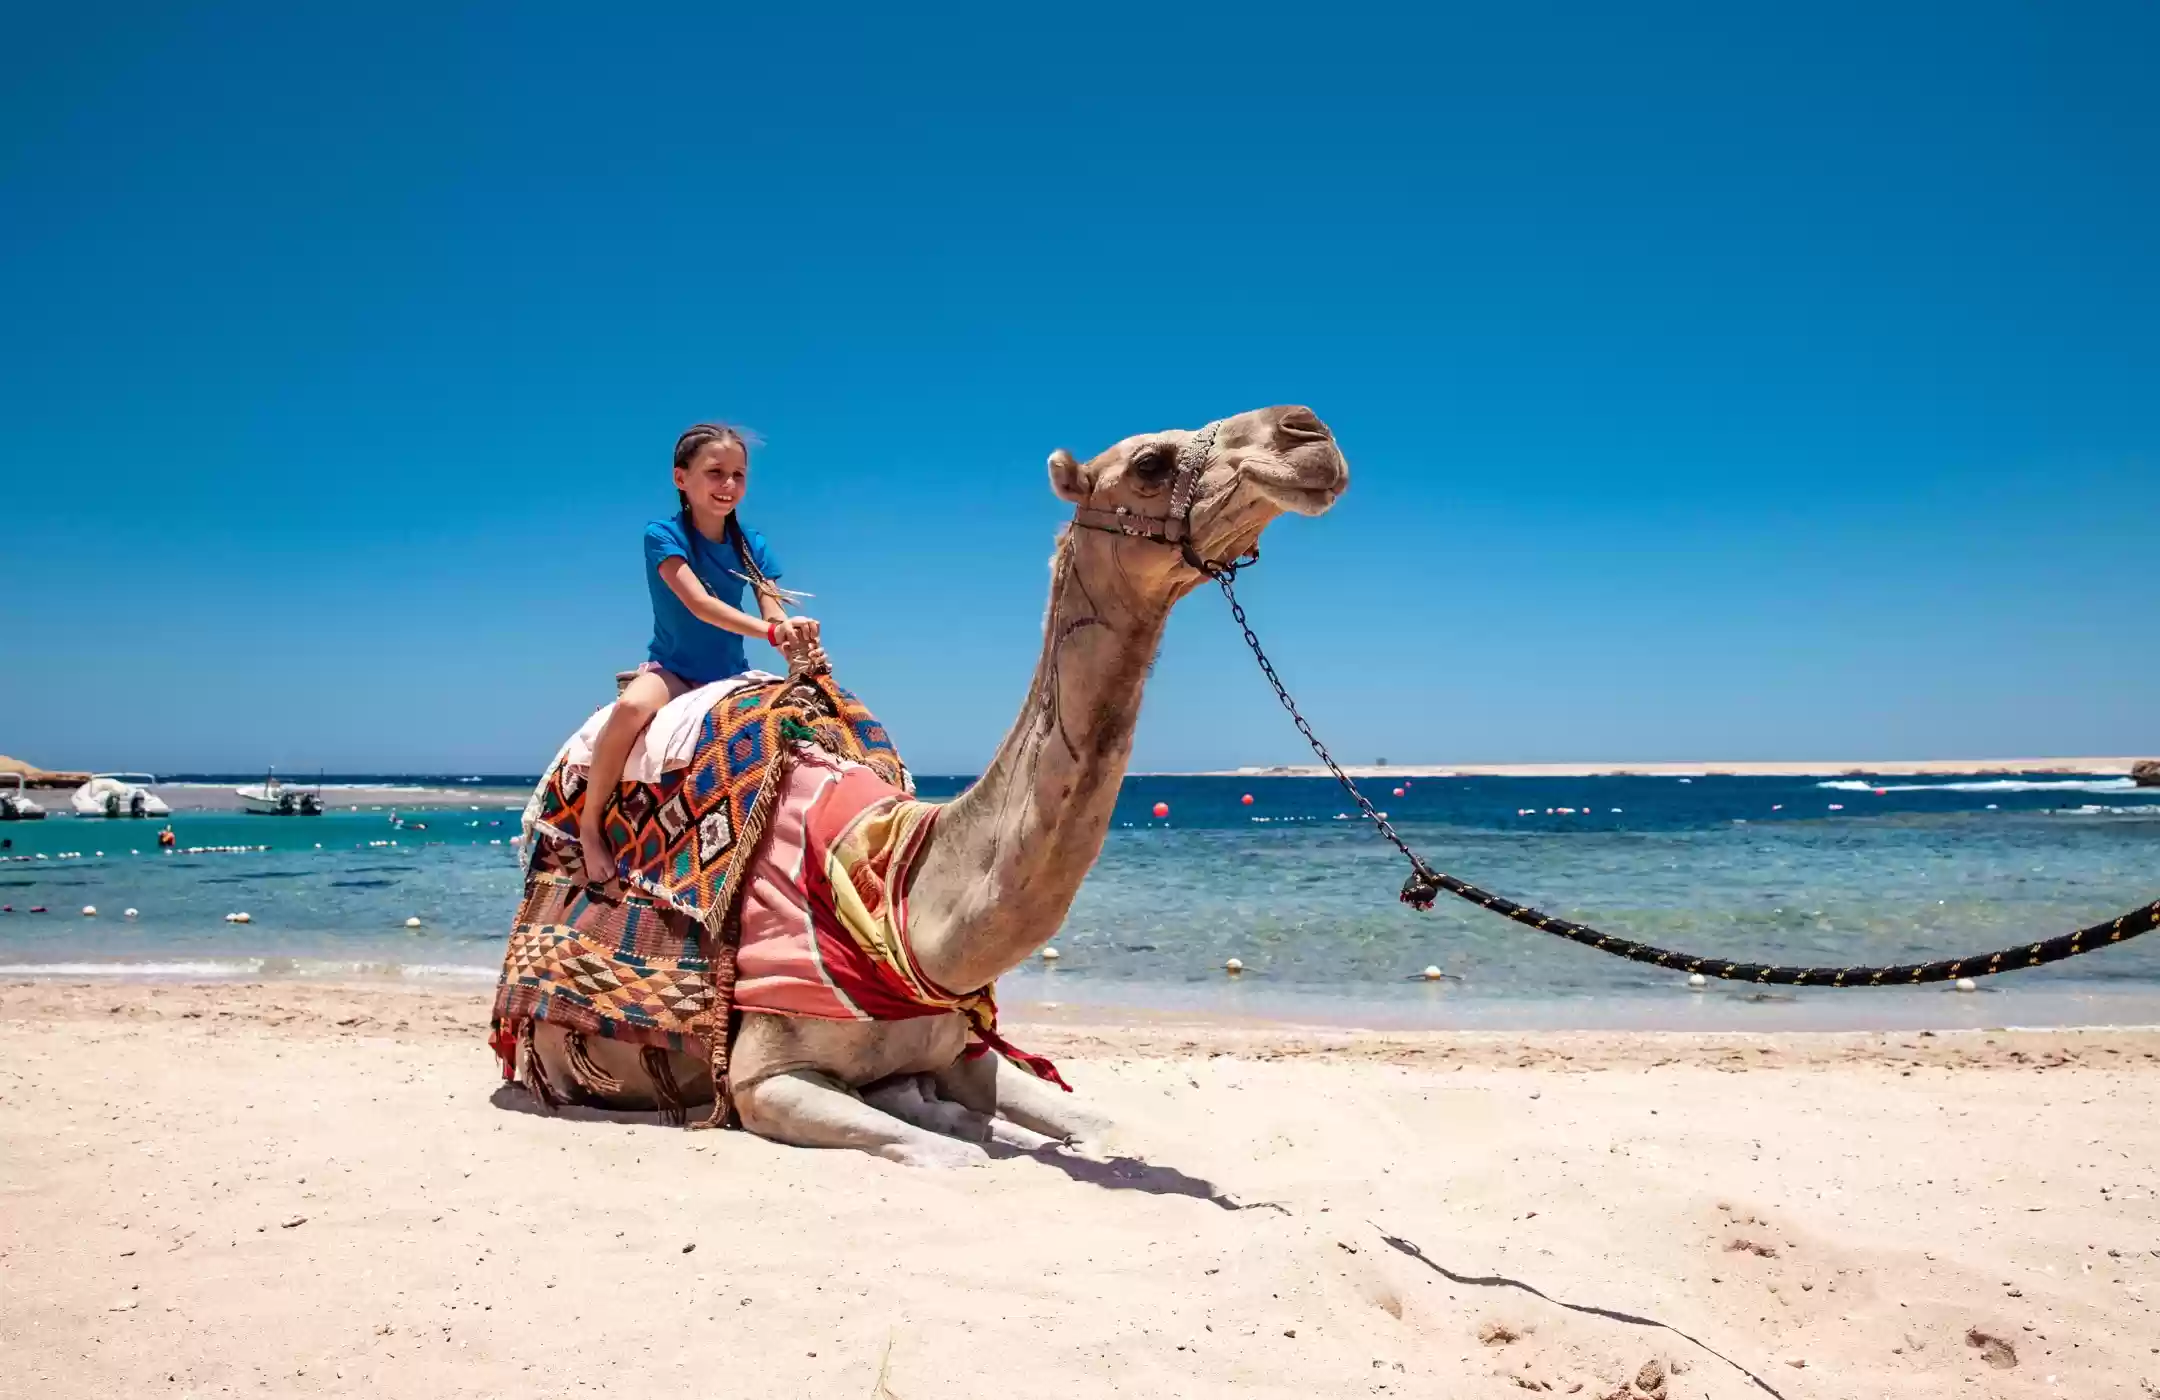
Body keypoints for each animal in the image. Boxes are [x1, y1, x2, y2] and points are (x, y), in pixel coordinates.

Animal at [526, 405, 1348, 1165]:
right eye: (1150, 462)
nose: (1307, 431)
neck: (896, 893)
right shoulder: (762, 1078)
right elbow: (952, 1150)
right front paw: (950, 1125)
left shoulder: (965, 1049)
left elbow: (1096, 1121)